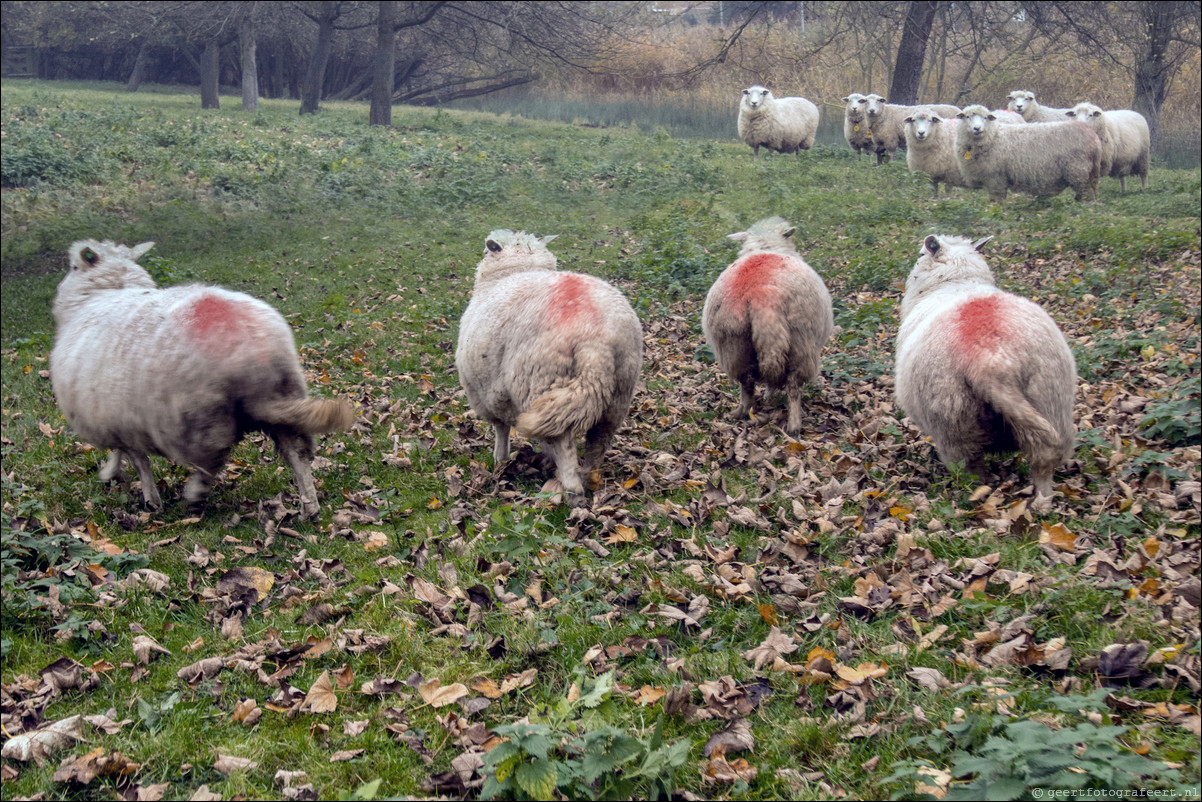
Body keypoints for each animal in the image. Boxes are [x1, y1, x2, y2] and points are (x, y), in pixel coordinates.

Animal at [51, 238, 350, 517]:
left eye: (74, 266)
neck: (104, 292)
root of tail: (254, 351)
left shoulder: (118, 420)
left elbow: (138, 461)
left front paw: (147, 497)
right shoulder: (118, 420)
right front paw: (113, 473)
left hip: (202, 418)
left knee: (210, 463)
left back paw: (195, 495)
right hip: (285, 395)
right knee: (297, 454)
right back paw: (309, 506)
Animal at [451, 228, 644, 497]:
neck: (516, 271)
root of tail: (595, 340)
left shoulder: (486, 394)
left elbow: (501, 429)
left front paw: (500, 458)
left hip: (541, 379)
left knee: (562, 440)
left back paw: (571, 489)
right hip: (618, 393)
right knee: (598, 440)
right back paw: (590, 477)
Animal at [701, 216, 831, 435]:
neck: (765, 246)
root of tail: (760, 291)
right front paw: (771, 395)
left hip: (734, 347)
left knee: (747, 383)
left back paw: (742, 413)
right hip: (801, 343)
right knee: (792, 386)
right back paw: (794, 426)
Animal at [894, 235, 1081, 505]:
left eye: (920, 255)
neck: (958, 281)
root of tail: (992, 359)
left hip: (953, 422)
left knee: (969, 470)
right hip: (1051, 398)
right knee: (1044, 458)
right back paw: (1043, 499)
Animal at [951, 105, 1101, 204]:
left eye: (986, 118)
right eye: (967, 117)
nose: (977, 128)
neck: (993, 137)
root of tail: (1092, 135)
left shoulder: (996, 179)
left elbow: (997, 202)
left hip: (1078, 171)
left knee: (1086, 195)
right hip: (1090, 173)